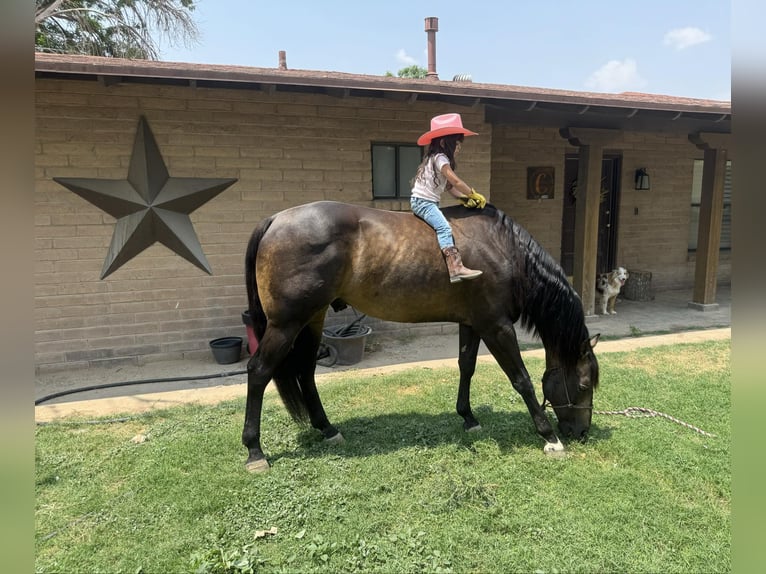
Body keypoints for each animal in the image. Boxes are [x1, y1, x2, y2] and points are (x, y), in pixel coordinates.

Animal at [242, 201, 600, 472]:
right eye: (584, 385)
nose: (582, 432)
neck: (503, 248)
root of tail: (275, 220)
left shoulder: (473, 323)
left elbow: (466, 366)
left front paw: (468, 417)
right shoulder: (496, 326)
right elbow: (521, 379)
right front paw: (549, 437)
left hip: (312, 319)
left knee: (305, 372)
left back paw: (328, 429)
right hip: (286, 324)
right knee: (259, 371)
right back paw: (255, 451)